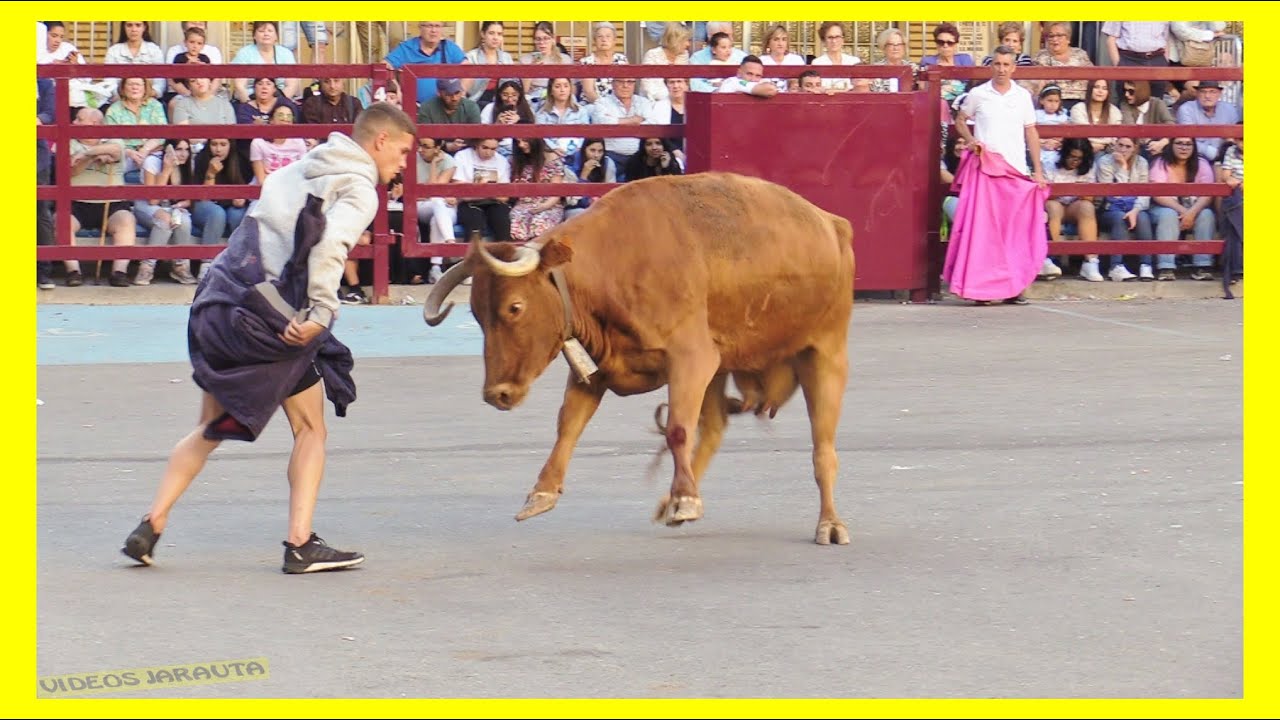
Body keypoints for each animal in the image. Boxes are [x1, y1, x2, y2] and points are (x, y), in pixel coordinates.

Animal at [422, 171, 855, 545]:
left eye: (515, 307)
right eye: (477, 313)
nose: (497, 394)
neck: (609, 268)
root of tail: (833, 223)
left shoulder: (691, 359)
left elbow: (677, 428)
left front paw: (685, 500)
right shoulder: (597, 371)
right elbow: (568, 426)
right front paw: (542, 492)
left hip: (825, 353)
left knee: (823, 448)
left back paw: (830, 523)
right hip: (725, 364)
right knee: (715, 428)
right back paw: (672, 502)